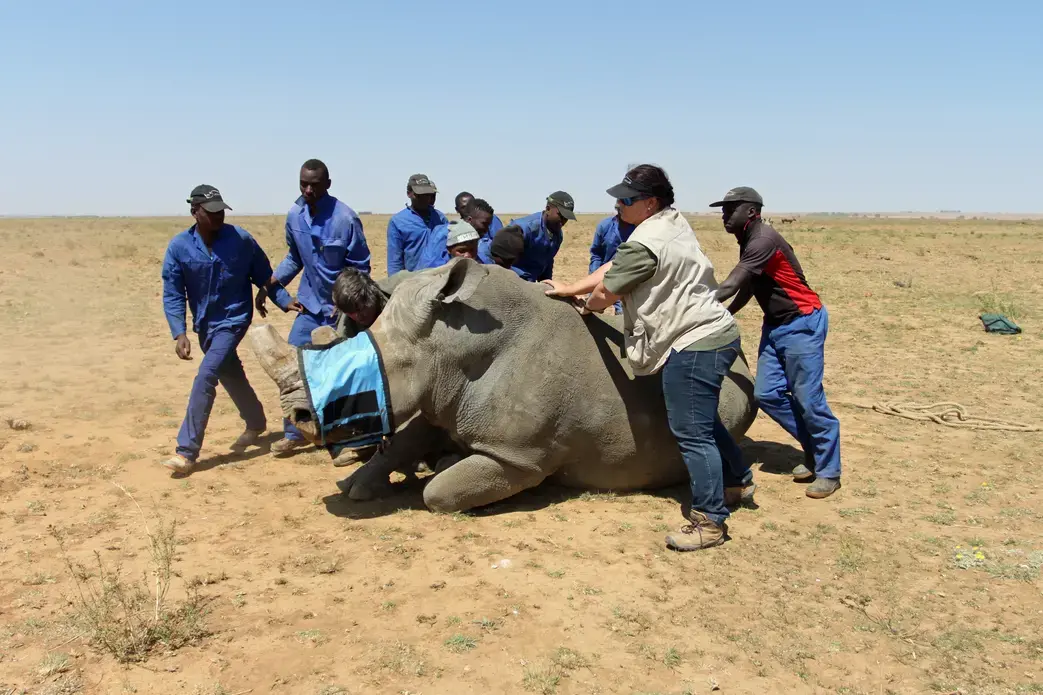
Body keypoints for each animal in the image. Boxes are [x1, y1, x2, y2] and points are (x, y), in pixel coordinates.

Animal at [249, 258, 757, 513]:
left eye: (358, 377)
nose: (296, 417)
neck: (447, 342)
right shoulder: (440, 396)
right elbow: (404, 441)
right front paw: (358, 486)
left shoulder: (518, 457)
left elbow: (439, 495)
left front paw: (435, 476)